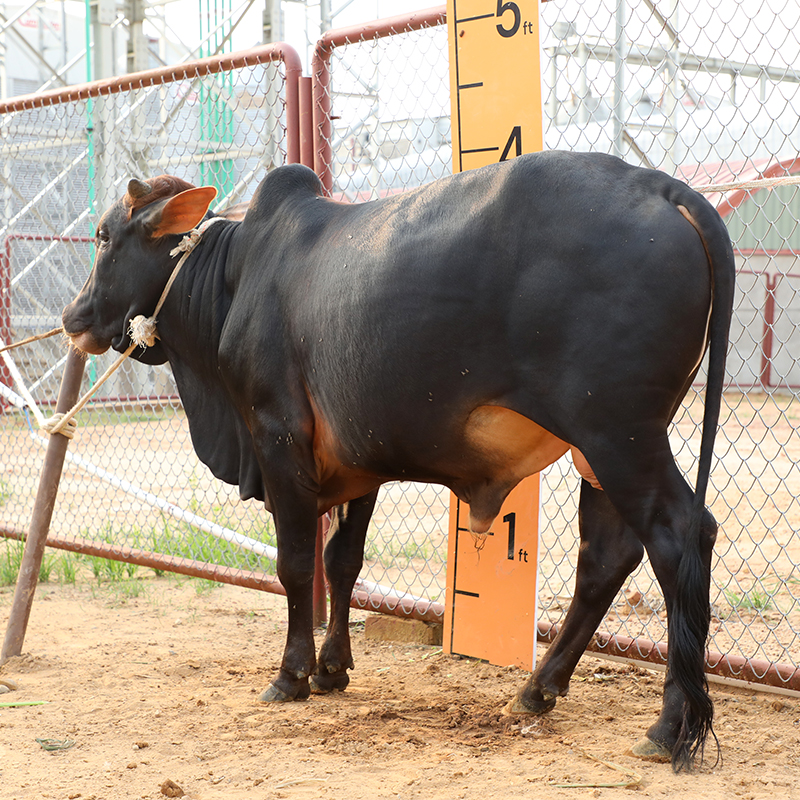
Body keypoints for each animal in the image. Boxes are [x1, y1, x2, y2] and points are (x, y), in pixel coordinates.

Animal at [62, 151, 735, 771]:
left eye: (103, 235)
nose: (73, 317)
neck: (234, 275)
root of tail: (662, 186)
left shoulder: (277, 438)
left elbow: (296, 566)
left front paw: (292, 675)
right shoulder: (357, 463)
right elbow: (342, 563)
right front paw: (333, 669)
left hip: (618, 435)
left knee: (680, 537)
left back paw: (667, 726)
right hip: (601, 450)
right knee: (607, 558)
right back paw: (538, 690)